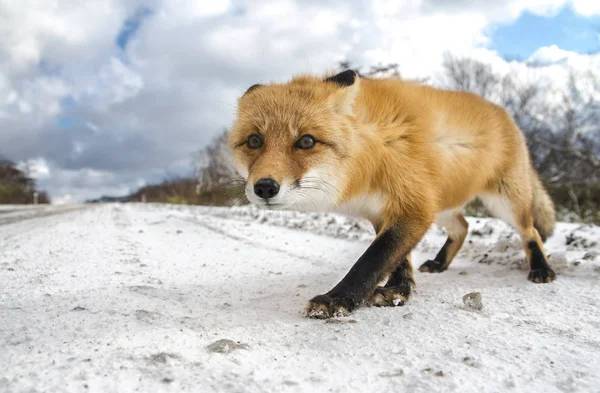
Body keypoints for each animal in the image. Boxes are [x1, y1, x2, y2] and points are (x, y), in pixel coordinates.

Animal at [229, 68, 556, 318]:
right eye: (254, 141)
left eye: (306, 141)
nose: (265, 187)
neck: (371, 152)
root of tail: (508, 116)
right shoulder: (385, 211)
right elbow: (398, 259)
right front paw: (400, 291)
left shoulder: (414, 205)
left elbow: (373, 259)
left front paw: (338, 299)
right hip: (443, 206)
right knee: (463, 227)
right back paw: (440, 263)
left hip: (504, 202)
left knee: (530, 232)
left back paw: (541, 269)